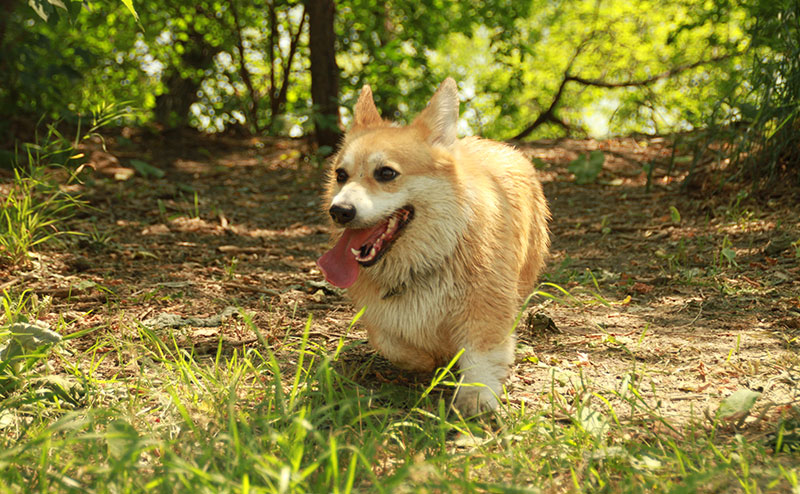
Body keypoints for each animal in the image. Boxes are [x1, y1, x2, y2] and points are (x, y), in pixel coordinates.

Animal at [318, 77, 552, 414]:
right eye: (340, 175)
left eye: (386, 173)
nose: (339, 211)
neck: (432, 254)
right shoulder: (379, 316)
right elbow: (390, 342)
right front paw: (426, 358)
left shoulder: (485, 309)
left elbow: (481, 354)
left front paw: (475, 398)